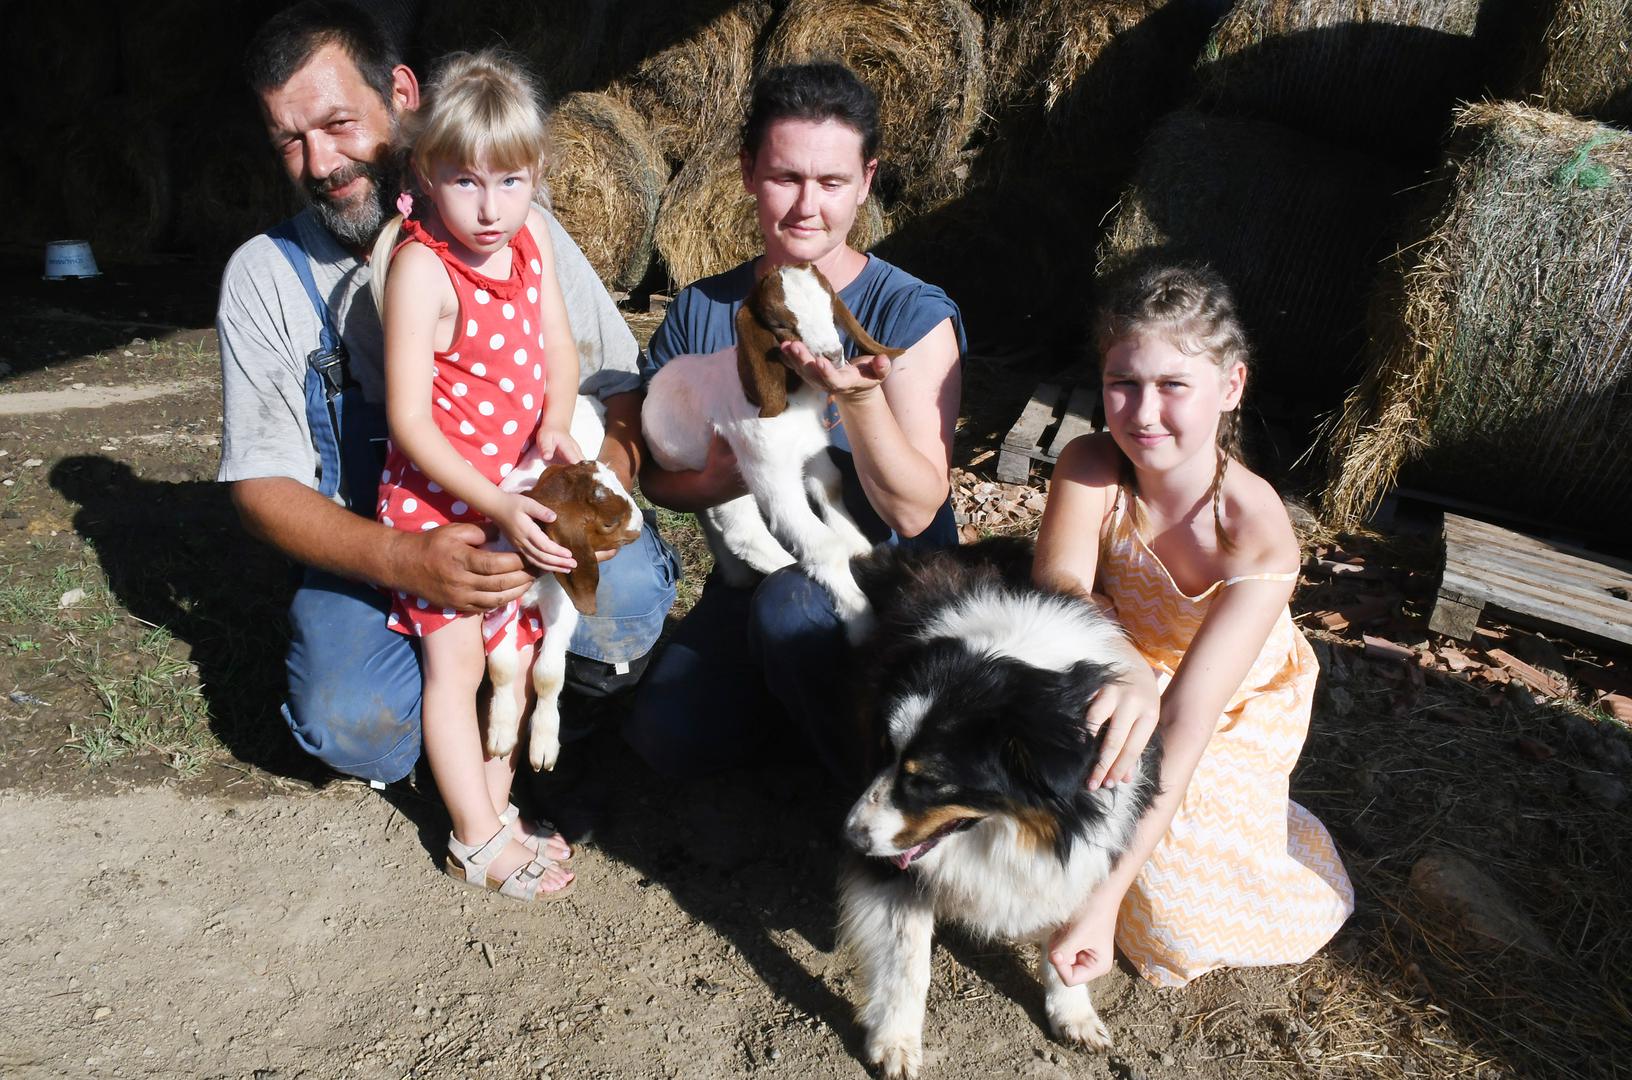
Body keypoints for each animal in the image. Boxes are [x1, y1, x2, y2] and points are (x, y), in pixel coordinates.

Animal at [842, 541, 1161, 1080]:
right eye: (882, 750)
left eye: (930, 781)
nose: (851, 838)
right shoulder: (893, 871)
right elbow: (908, 959)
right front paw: (895, 1041)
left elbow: (1065, 935)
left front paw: (1073, 1012)